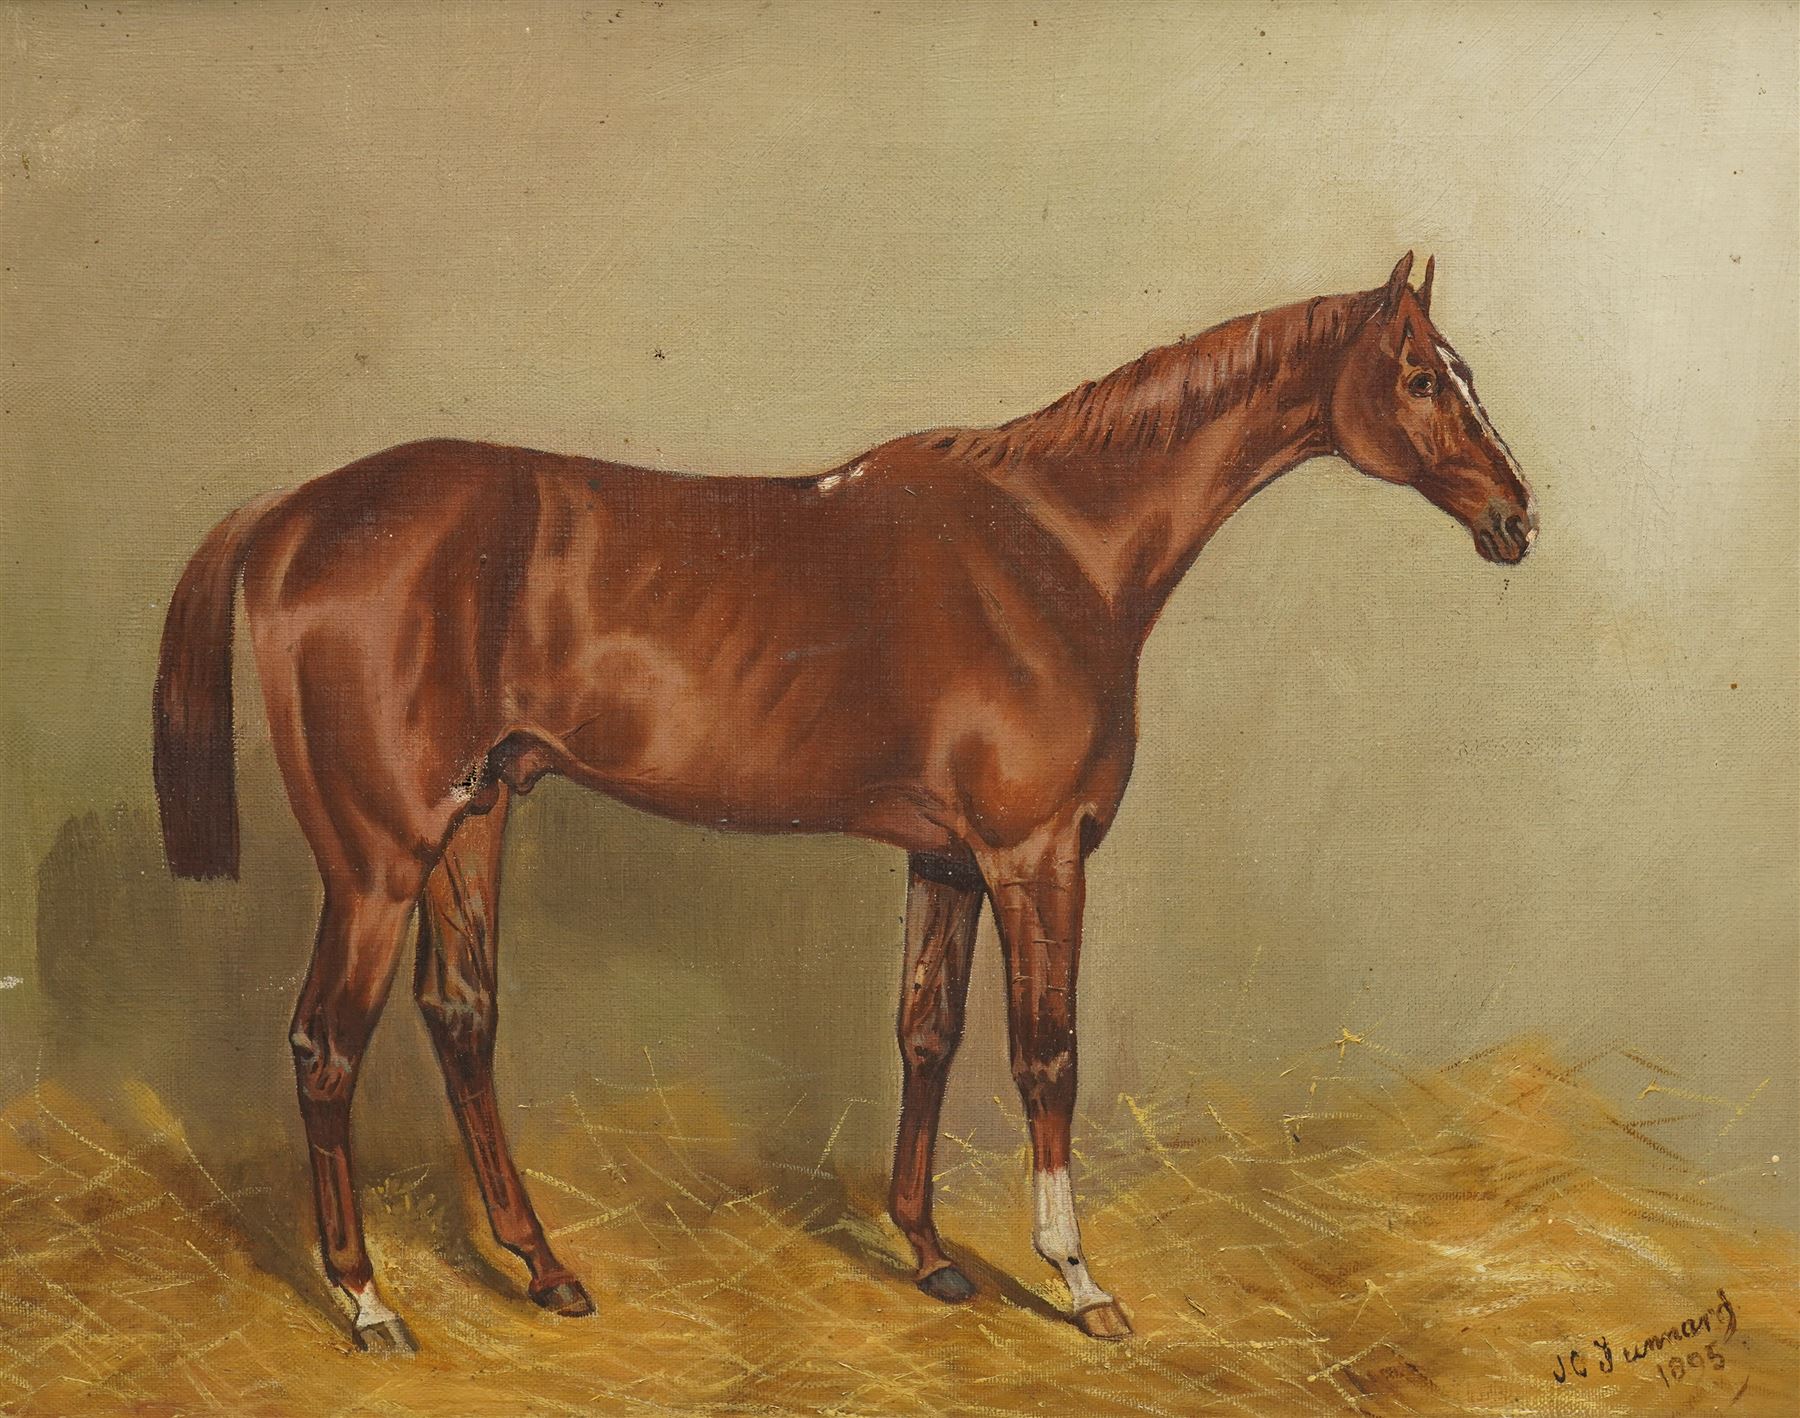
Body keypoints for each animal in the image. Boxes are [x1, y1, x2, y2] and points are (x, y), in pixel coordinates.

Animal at [153, 252, 1535, 1353]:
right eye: (1424, 377)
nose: (1518, 516)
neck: (1053, 544)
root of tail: (291, 513)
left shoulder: (951, 861)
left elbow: (927, 1030)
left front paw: (928, 1252)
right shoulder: (1037, 855)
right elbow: (1046, 1053)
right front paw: (1078, 1279)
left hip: (474, 818)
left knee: (461, 1020)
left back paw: (543, 1268)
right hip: (379, 856)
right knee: (327, 1047)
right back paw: (367, 1300)